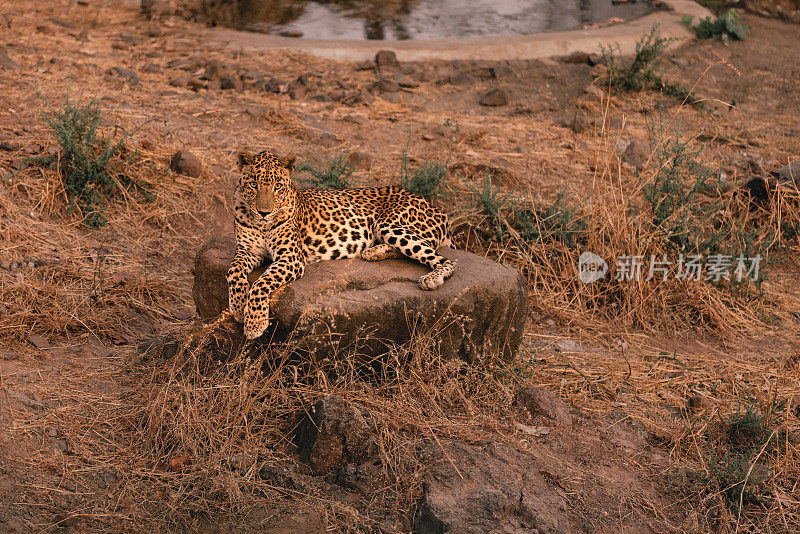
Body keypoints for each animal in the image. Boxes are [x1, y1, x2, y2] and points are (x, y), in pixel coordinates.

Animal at [228, 150, 456, 340]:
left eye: (277, 187)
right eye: (253, 185)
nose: (264, 212)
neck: (261, 224)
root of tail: (436, 209)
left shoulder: (290, 257)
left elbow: (261, 284)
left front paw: (254, 323)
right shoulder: (247, 251)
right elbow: (233, 272)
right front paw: (238, 307)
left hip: (390, 224)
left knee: (445, 259)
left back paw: (431, 279)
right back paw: (374, 251)